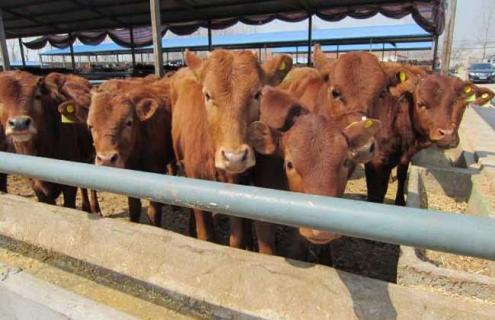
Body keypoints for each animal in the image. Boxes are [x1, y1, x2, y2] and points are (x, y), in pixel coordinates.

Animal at [170, 49, 292, 250]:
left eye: (257, 94)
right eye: (207, 95)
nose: (234, 157)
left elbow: (236, 238)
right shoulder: (195, 178)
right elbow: (206, 235)